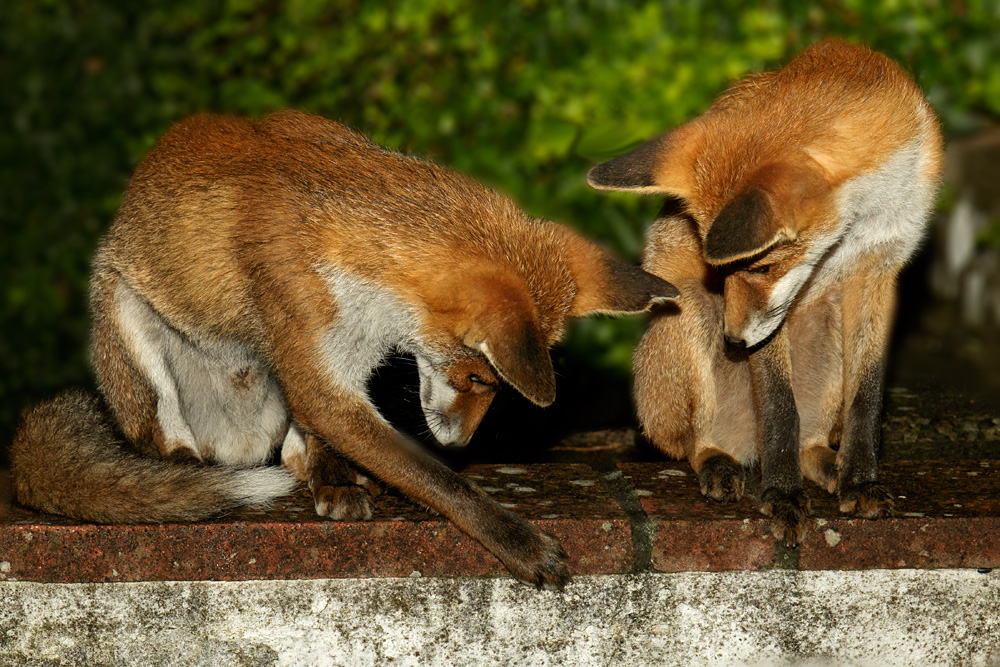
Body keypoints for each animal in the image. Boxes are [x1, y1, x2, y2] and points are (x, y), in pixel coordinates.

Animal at [11, 109, 678, 588]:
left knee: (288, 452)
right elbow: (439, 482)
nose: (461, 445)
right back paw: (183, 465)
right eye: (479, 380)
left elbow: (329, 439)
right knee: (161, 441)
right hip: (128, 328)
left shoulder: (348, 357)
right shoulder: (317, 358)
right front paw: (518, 540)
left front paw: (338, 476)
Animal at [587, 40, 943, 545]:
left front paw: (860, 481)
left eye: (762, 266)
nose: (733, 342)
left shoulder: (879, 269)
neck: (859, 224)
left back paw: (827, 465)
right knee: (692, 443)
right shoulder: (769, 320)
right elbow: (779, 410)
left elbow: (867, 399)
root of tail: (744, 448)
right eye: (717, 269)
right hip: (688, 324)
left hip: (827, 338)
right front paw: (782, 496)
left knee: (811, 438)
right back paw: (718, 461)